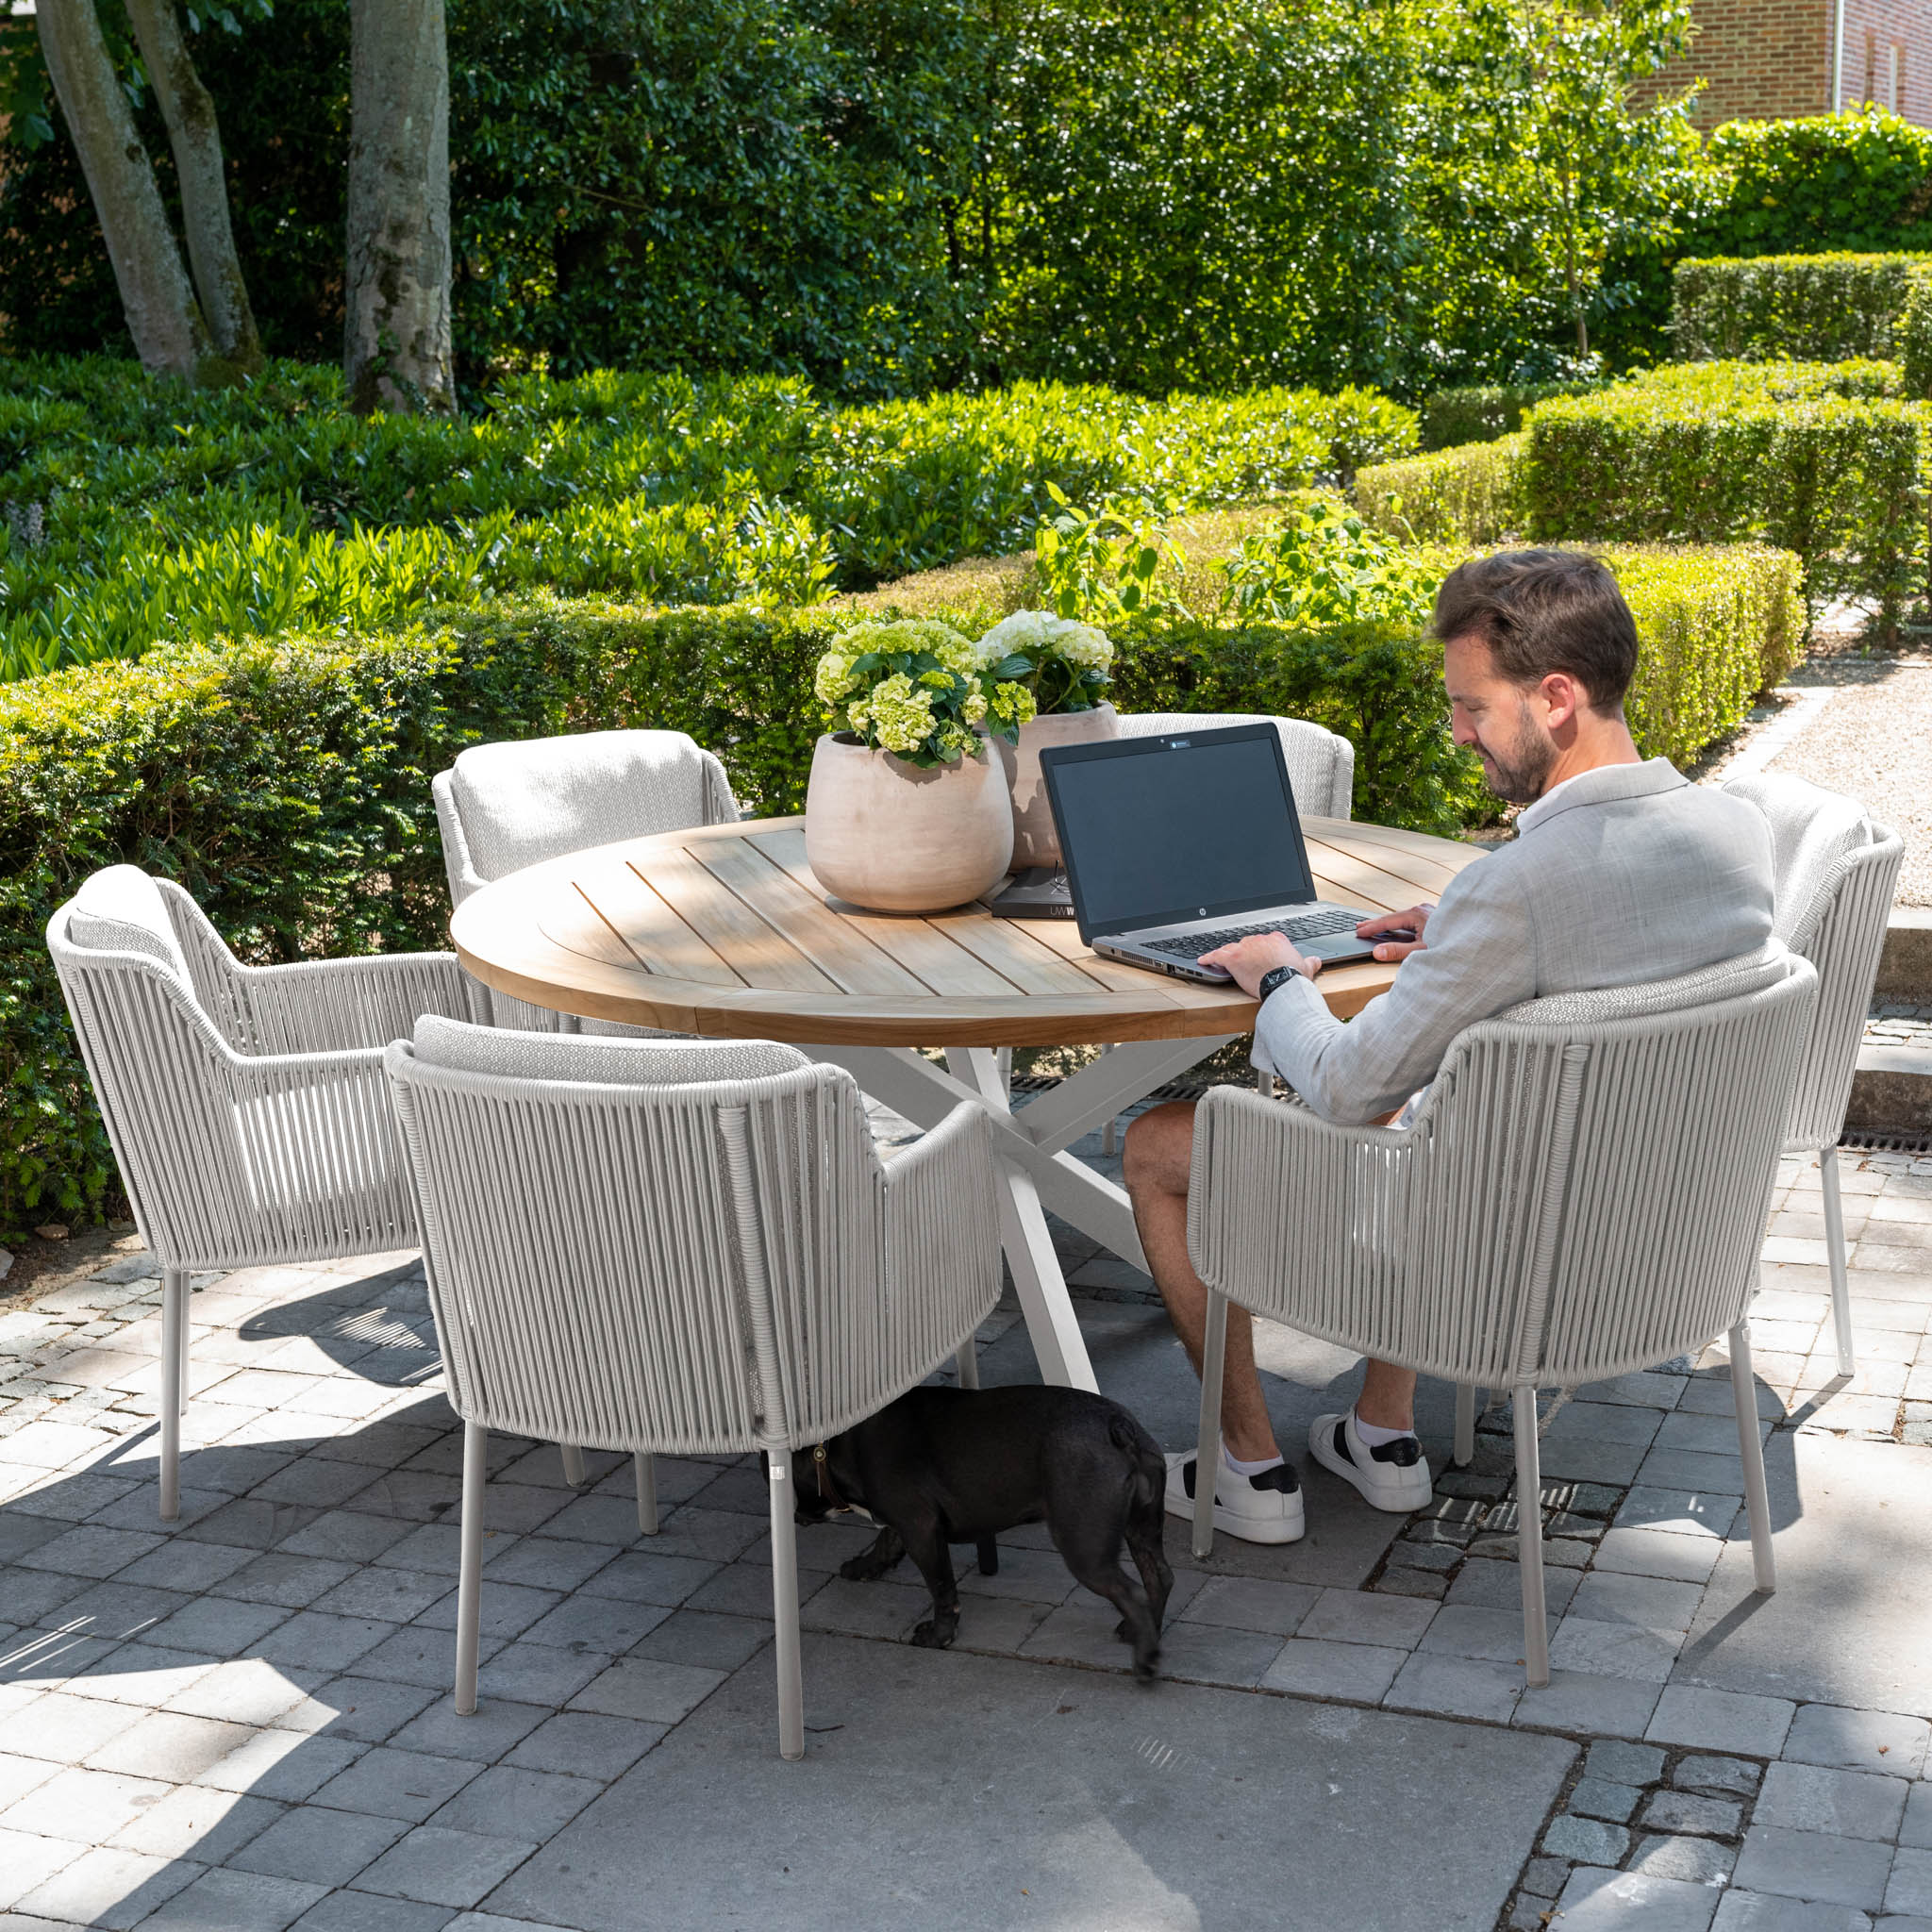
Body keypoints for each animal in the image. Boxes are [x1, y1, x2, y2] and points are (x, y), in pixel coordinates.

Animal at [788, 1391, 1174, 1676]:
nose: (793, 1517)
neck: (835, 1446)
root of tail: (1118, 1425)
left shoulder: (920, 1530)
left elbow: (942, 1588)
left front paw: (939, 1637)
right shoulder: (904, 1522)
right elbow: (885, 1541)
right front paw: (863, 1567)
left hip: (1084, 1547)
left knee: (1131, 1590)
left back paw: (1144, 1659)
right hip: (1141, 1528)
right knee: (1159, 1577)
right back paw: (1146, 1633)